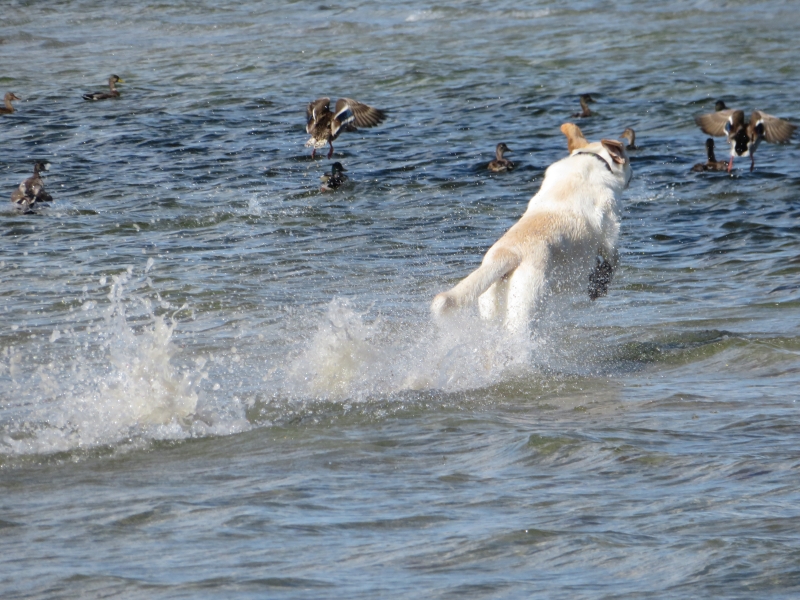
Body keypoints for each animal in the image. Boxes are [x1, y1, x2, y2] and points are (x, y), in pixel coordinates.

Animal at [431, 132, 632, 333]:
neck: (592, 159)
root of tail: (508, 254)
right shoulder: (610, 230)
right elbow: (613, 259)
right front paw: (599, 285)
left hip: (489, 306)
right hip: (526, 308)